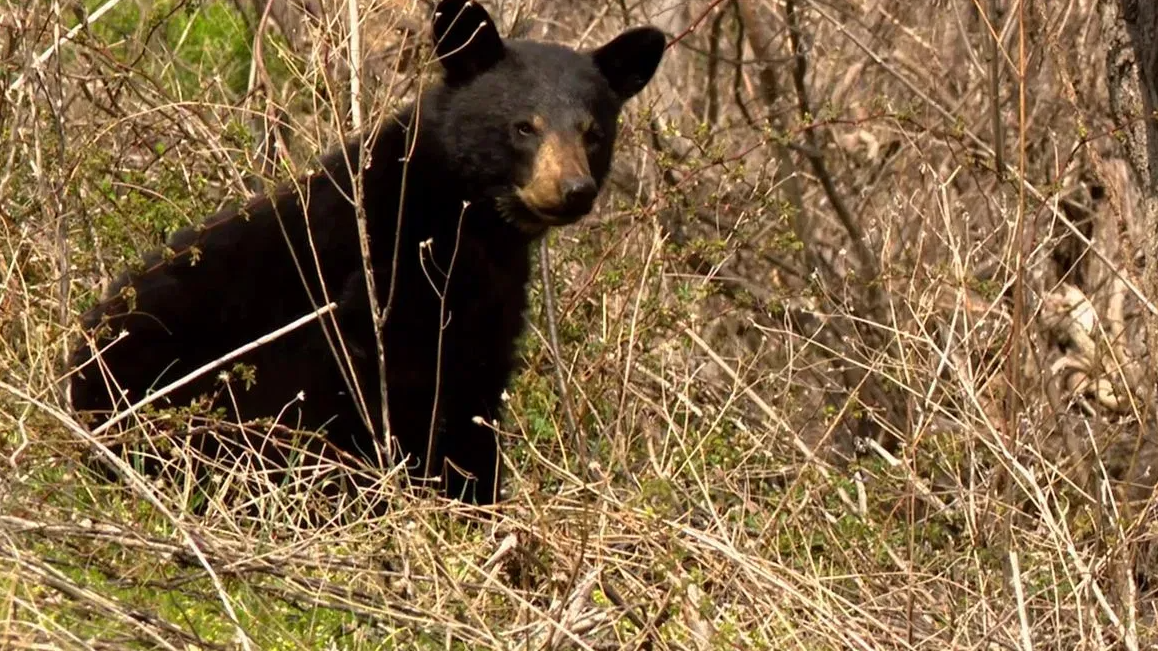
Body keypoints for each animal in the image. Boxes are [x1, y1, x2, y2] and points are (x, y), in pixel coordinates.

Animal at [66, 0, 666, 508]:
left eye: (593, 132)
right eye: (524, 126)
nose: (573, 190)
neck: (463, 217)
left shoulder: (488, 306)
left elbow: (474, 391)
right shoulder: (381, 277)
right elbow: (398, 391)